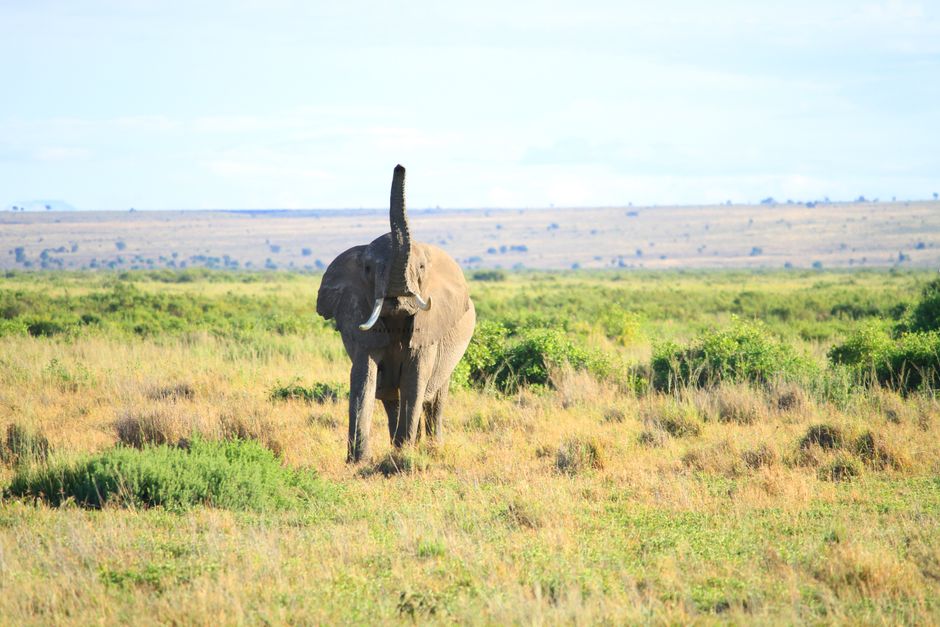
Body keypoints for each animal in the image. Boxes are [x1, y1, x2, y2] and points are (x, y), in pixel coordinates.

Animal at [316, 165, 476, 462]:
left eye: (422, 267)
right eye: (368, 268)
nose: (400, 167)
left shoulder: (429, 328)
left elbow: (415, 379)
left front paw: (405, 453)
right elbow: (363, 378)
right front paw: (359, 461)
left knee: (434, 399)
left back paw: (430, 447)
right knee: (391, 398)